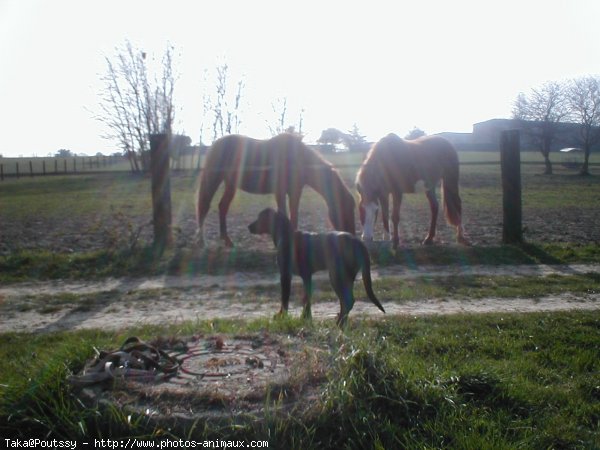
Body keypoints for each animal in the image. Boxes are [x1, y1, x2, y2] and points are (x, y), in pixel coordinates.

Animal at [196, 132, 356, 248]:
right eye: (346, 209)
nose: (351, 235)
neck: (298, 157)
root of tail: (217, 143)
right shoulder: (280, 192)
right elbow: (285, 213)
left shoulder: (295, 192)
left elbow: (294, 215)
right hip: (213, 180)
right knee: (204, 207)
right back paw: (202, 243)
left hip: (231, 185)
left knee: (222, 207)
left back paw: (228, 241)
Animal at [247, 207, 384, 326]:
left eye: (261, 218)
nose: (249, 227)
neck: (285, 236)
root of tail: (359, 243)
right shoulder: (307, 276)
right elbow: (306, 298)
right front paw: (306, 317)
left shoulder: (285, 275)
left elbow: (285, 298)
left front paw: (282, 315)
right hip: (347, 276)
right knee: (346, 301)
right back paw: (341, 321)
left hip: (336, 276)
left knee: (347, 300)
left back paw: (339, 322)